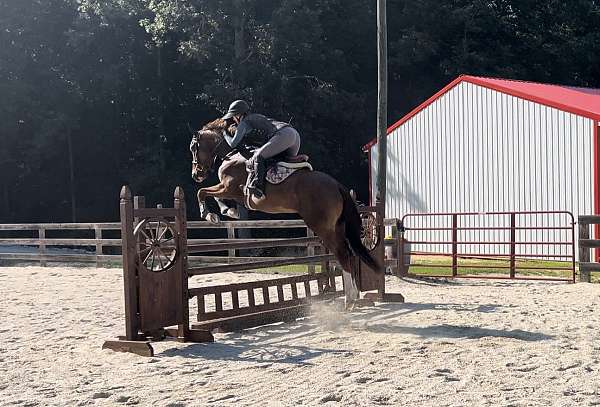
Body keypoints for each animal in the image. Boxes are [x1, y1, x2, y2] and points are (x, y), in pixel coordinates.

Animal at [190, 119, 382, 308]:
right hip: (337, 225)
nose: (196, 174)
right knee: (349, 253)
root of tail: (337, 185)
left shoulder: (229, 188)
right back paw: (354, 296)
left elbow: (202, 192)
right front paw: (228, 211)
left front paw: (211, 214)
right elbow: (209, 194)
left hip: (322, 227)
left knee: (343, 253)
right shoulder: (230, 191)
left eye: (194, 148)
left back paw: (349, 299)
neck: (233, 154)